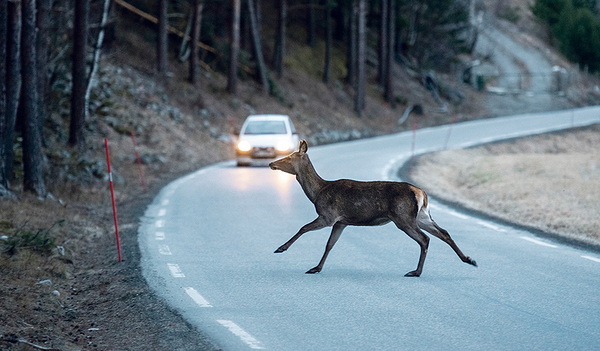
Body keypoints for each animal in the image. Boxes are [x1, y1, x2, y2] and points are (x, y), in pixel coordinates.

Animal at [270, 140, 476, 278]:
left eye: (290, 157)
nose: (272, 163)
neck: (318, 192)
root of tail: (421, 193)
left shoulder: (328, 215)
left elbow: (303, 228)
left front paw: (281, 248)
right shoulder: (341, 222)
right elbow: (330, 244)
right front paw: (316, 268)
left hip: (403, 217)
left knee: (425, 239)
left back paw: (416, 272)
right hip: (421, 216)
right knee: (444, 232)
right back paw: (469, 259)